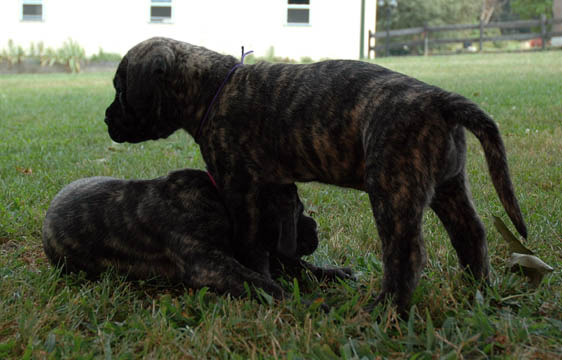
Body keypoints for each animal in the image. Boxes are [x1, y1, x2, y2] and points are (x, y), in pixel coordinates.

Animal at [42, 170, 350, 300]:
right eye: (298, 211)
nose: (315, 226)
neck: (220, 199)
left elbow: (300, 266)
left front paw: (336, 273)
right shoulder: (209, 265)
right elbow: (262, 283)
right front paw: (308, 305)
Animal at [104, 37, 524, 312]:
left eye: (120, 90)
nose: (106, 119)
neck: (213, 89)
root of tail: (438, 99)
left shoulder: (239, 187)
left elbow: (250, 241)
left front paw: (260, 279)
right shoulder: (274, 186)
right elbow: (277, 237)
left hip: (393, 190)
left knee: (406, 254)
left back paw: (385, 311)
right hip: (449, 187)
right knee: (471, 234)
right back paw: (478, 290)